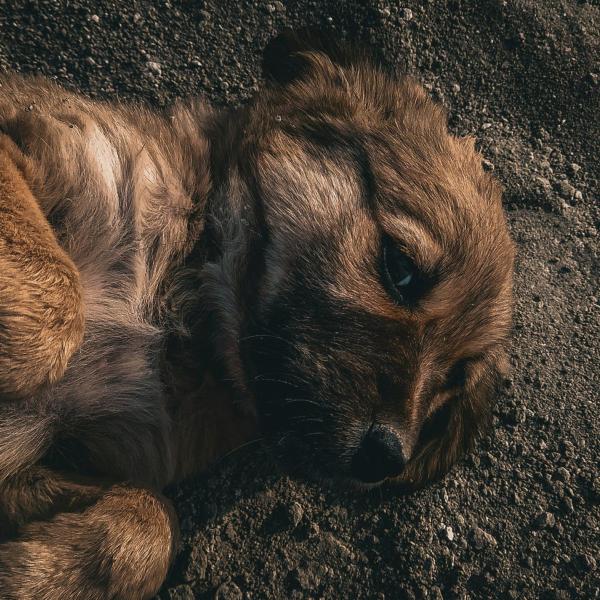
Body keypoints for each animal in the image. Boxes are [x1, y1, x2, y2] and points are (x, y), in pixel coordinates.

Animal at [0, 32, 512, 600]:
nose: (384, 457)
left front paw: (33, 575)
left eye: (451, 381)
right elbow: (57, 313)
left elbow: (155, 520)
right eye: (400, 269)